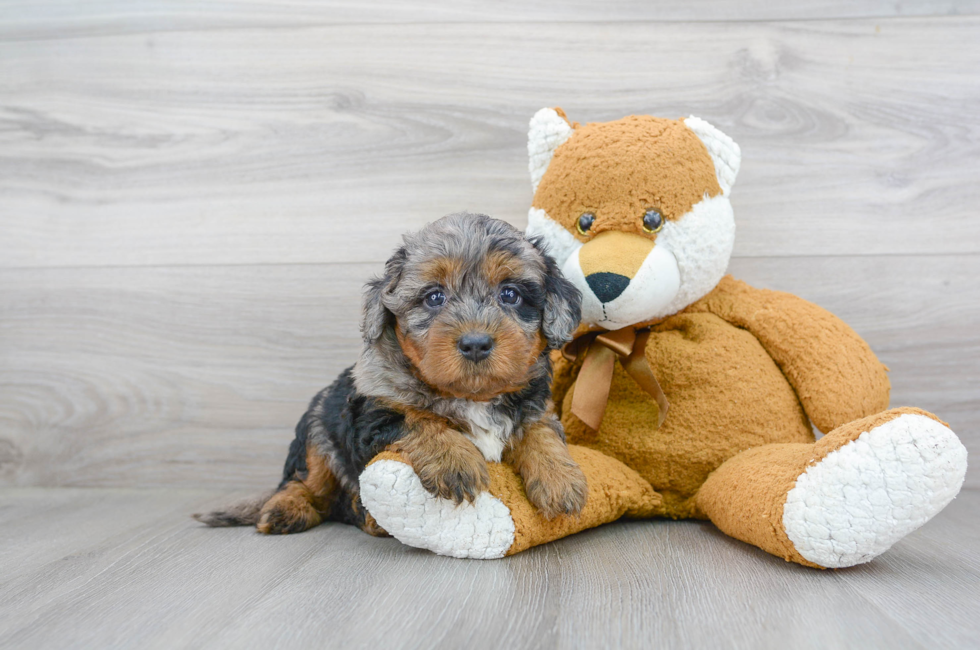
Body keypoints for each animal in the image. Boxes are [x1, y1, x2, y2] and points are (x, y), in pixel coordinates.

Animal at [195, 213, 584, 536]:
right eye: (434, 297)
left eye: (510, 294)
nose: (476, 343)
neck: (471, 396)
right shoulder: (371, 412)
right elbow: (417, 418)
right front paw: (454, 461)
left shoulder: (537, 405)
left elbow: (540, 430)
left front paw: (560, 479)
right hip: (316, 431)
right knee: (306, 484)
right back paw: (287, 510)